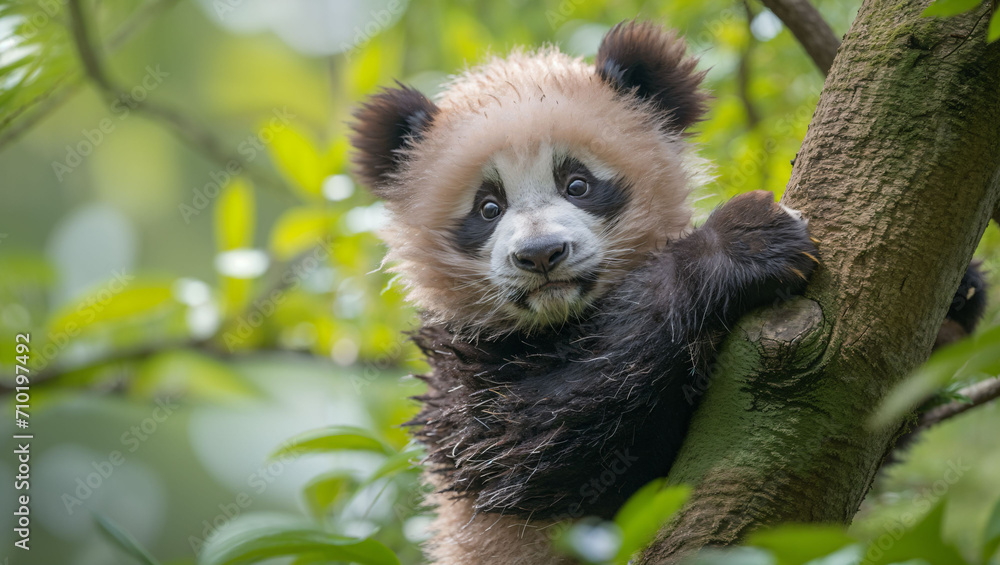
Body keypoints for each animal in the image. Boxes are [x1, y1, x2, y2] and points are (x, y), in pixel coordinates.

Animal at [349, 20, 983, 565]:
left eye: (577, 184)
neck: (564, 321)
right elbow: (535, 436)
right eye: (488, 207)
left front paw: (962, 296)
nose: (542, 256)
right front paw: (744, 243)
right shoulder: (464, 375)